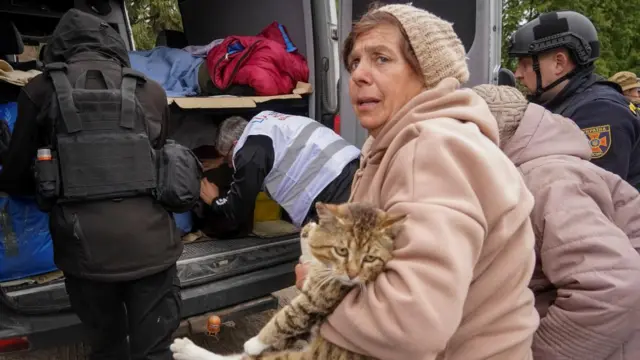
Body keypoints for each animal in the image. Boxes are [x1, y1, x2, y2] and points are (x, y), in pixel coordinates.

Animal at [171, 202, 404, 360]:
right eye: (342, 251)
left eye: (370, 258)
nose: (352, 275)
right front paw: (309, 233)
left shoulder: (317, 297)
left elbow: (284, 319)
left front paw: (255, 342)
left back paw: (186, 349)